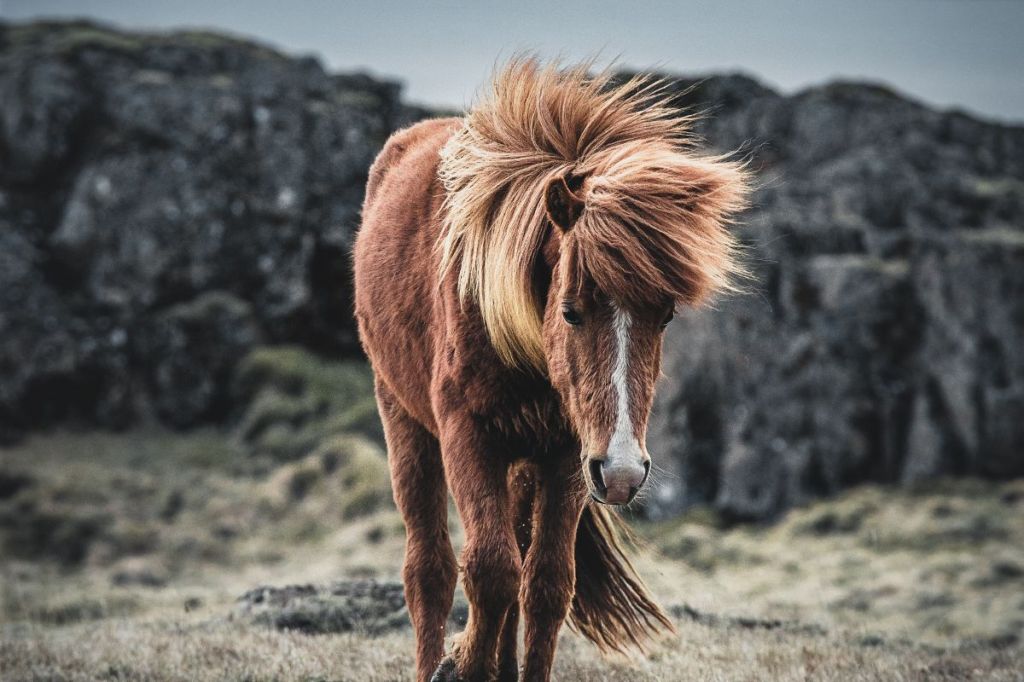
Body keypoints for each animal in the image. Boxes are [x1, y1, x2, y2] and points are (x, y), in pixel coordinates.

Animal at [356, 58, 749, 679]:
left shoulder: (568, 453)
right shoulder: (468, 436)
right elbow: (490, 571)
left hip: (528, 461)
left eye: (664, 316)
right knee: (430, 570)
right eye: (570, 310)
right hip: (405, 421)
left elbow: (544, 584)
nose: (623, 472)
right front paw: (463, 663)